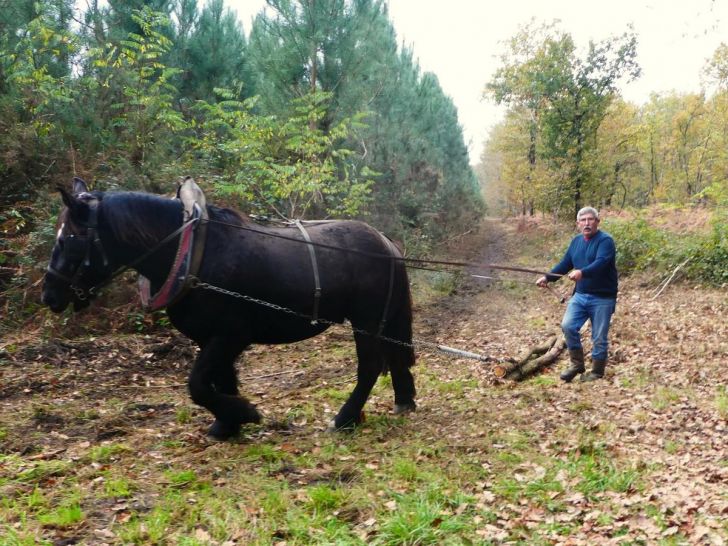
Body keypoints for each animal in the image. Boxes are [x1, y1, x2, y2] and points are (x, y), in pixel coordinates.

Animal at [41, 177, 417, 440]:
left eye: (68, 240)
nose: (49, 295)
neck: (193, 255)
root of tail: (385, 242)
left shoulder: (231, 335)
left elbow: (197, 384)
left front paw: (243, 413)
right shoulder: (210, 337)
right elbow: (221, 380)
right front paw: (229, 423)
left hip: (366, 319)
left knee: (370, 366)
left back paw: (345, 418)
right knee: (394, 356)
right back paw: (403, 399)